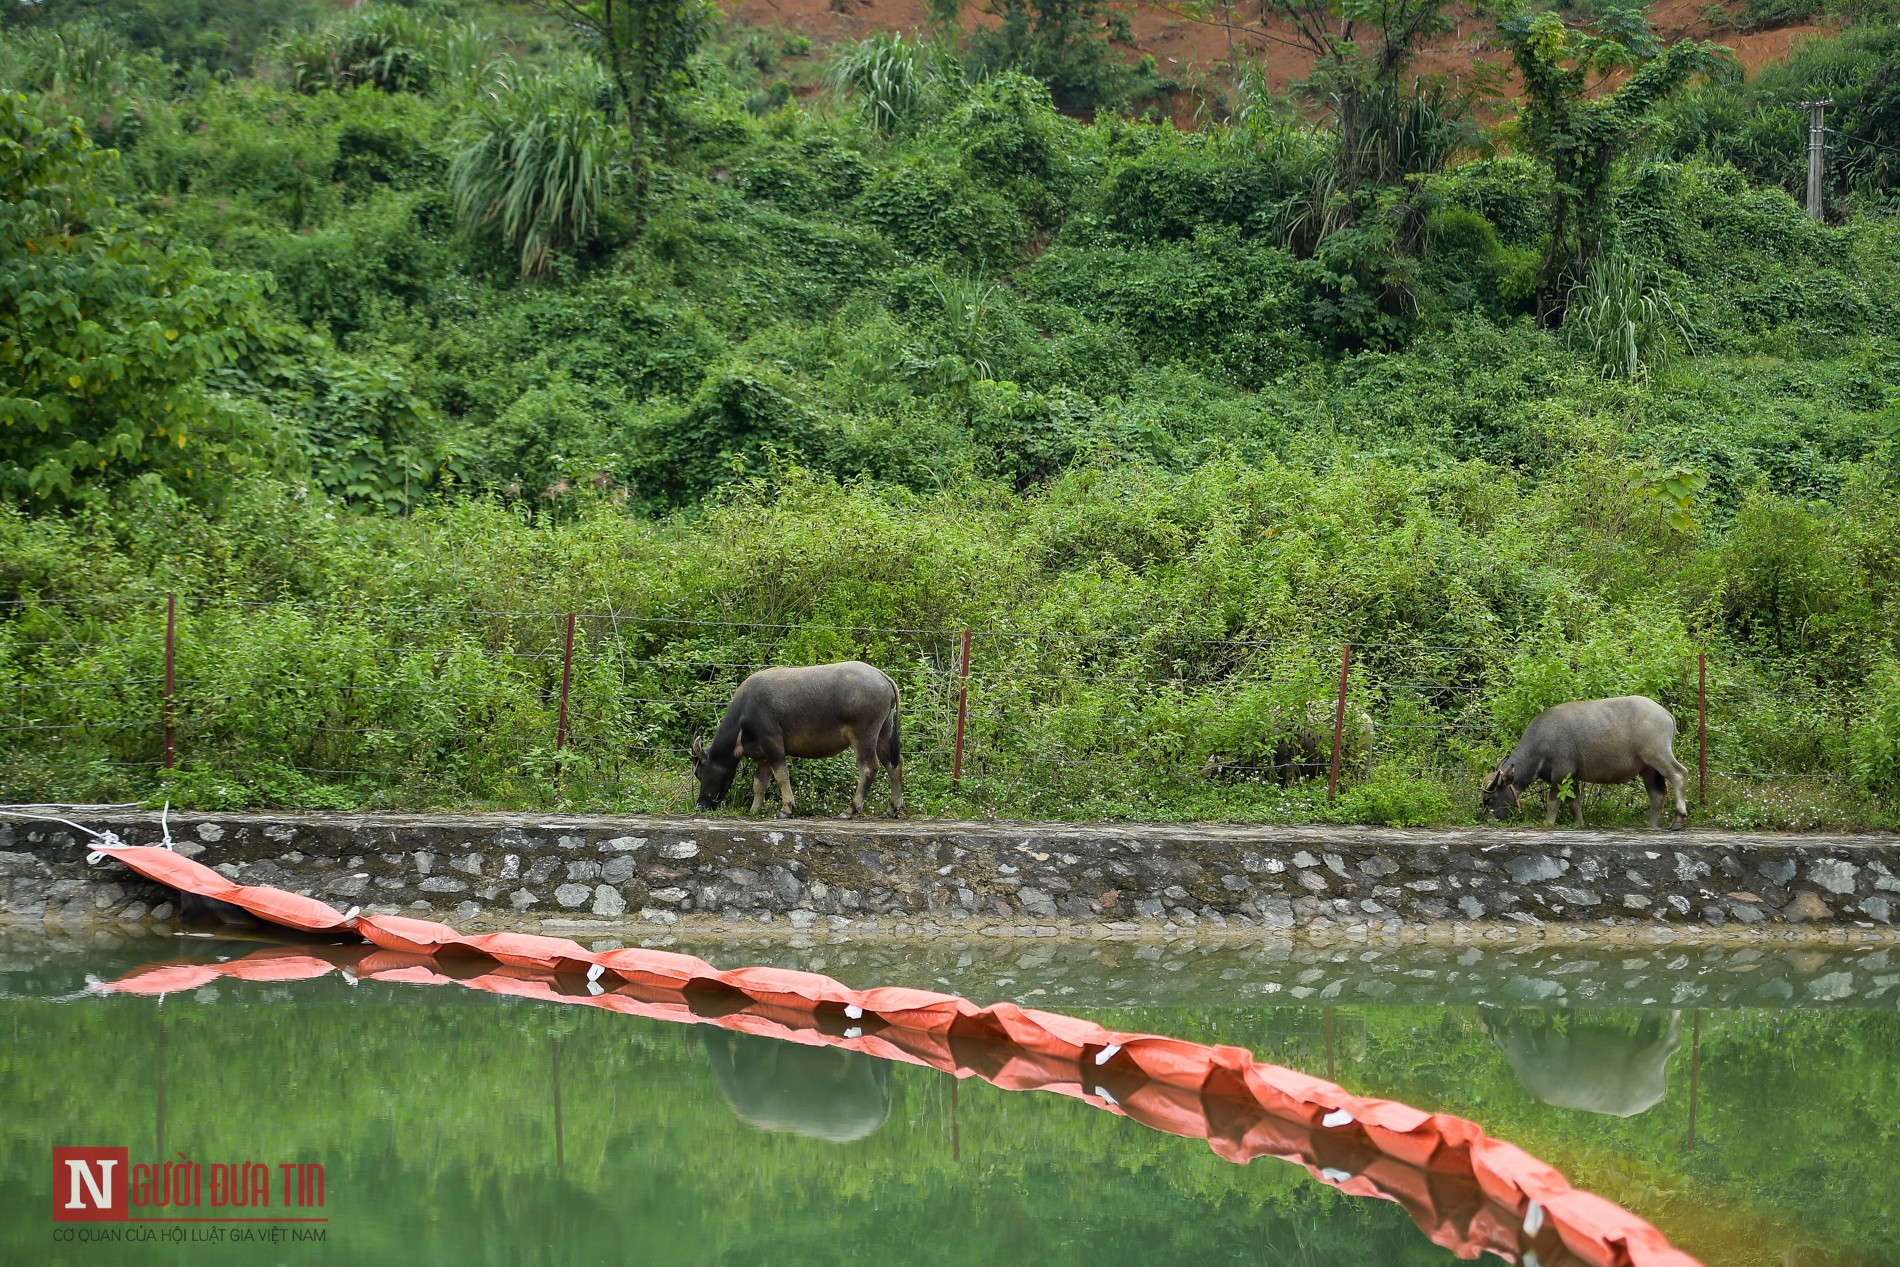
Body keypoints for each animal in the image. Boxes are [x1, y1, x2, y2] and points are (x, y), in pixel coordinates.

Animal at [691, 661, 904, 816]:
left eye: (699, 773)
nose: (700, 805)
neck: (744, 716)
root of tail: (882, 676)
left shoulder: (772, 743)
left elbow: (781, 775)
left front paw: (786, 808)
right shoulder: (764, 756)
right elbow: (759, 784)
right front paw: (754, 810)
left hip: (864, 735)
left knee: (869, 768)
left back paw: (850, 810)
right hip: (884, 731)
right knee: (894, 763)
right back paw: (892, 809)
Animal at [1474, 695, 1687, 832]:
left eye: (1489, 800)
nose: (1485, 819)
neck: (1540, 744)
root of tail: (1665, 714)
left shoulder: (1561, 773)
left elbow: (1553, 801)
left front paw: (1547, 823)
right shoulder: (1572, 777)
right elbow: (1574, 802)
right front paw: (1578, 823)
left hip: (1658, 755)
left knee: (1679, 774)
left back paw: (1678, 820)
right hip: (1648, 768)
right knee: (1657, 793)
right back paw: (1652, 825)